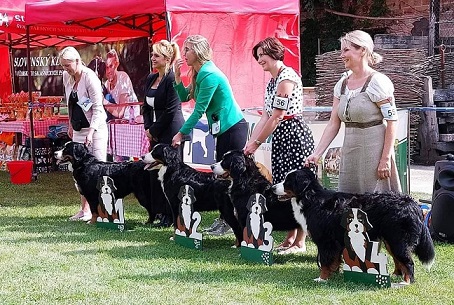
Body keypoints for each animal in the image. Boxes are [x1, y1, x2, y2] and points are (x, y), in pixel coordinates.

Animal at [272, 167, 434, 284]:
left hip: (398, 239)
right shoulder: (335, 242)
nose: (273, 187)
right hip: (391, 240)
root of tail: (412, 203)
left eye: (287, 181)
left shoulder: (326, 241)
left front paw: (322, 278)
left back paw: (405, 282)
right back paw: (395, 275)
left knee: (408, 262)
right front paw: (334, 273)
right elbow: (334, 260)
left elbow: (324, 261)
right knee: (399, 260)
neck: (311, 199)